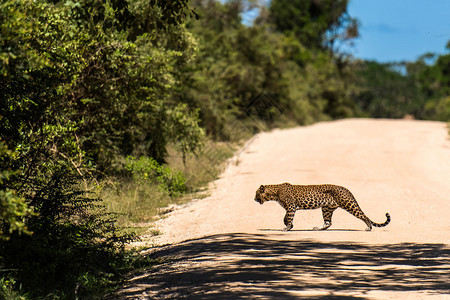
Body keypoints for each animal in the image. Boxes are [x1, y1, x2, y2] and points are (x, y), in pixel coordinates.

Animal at [256, 183, 390, 230]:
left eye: (256, 193)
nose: (254, 199)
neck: (275, 192)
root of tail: (346, 189)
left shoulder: (291, 207)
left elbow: (288, 217)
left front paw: (287, 227)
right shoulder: (290, 208)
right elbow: (286, 217)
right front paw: (289, 226)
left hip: (348, 204)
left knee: (363, 215)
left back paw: (369, 227)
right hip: (326, 208)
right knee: (328, 222)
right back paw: (318, 228)